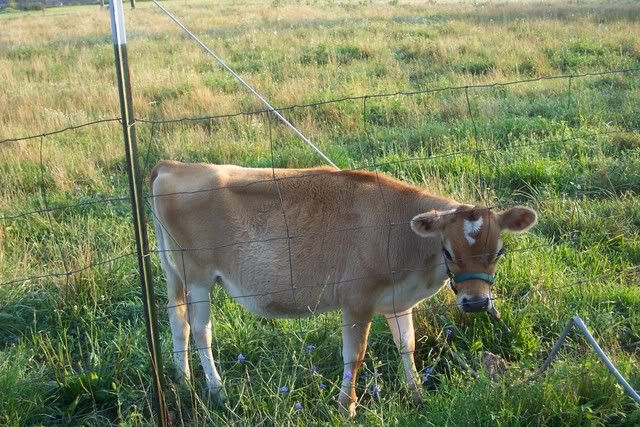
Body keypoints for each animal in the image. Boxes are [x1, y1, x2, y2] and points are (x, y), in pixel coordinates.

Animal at [150, 160, 537, 417]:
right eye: (449, 252)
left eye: (499, 252)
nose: (476, 303)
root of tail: (173, 165)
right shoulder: (357, 299)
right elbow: (355, 354)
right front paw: (346, 406)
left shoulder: (398, 301)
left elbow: (407, 345)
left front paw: (416, 394)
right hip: (198, 276)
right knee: (201, 330)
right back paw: (216, 390)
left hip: (174, 274)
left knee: (178, 324)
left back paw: (183, 381)